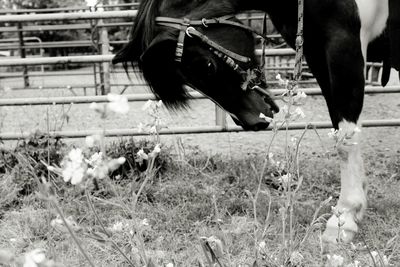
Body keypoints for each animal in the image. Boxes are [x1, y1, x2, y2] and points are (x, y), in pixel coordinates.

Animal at [111, 0, 398, 244]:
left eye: (206, 65)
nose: (251, 121)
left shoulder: (342, 46)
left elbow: (346, 141)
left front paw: (345, 218)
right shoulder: (319, 54)